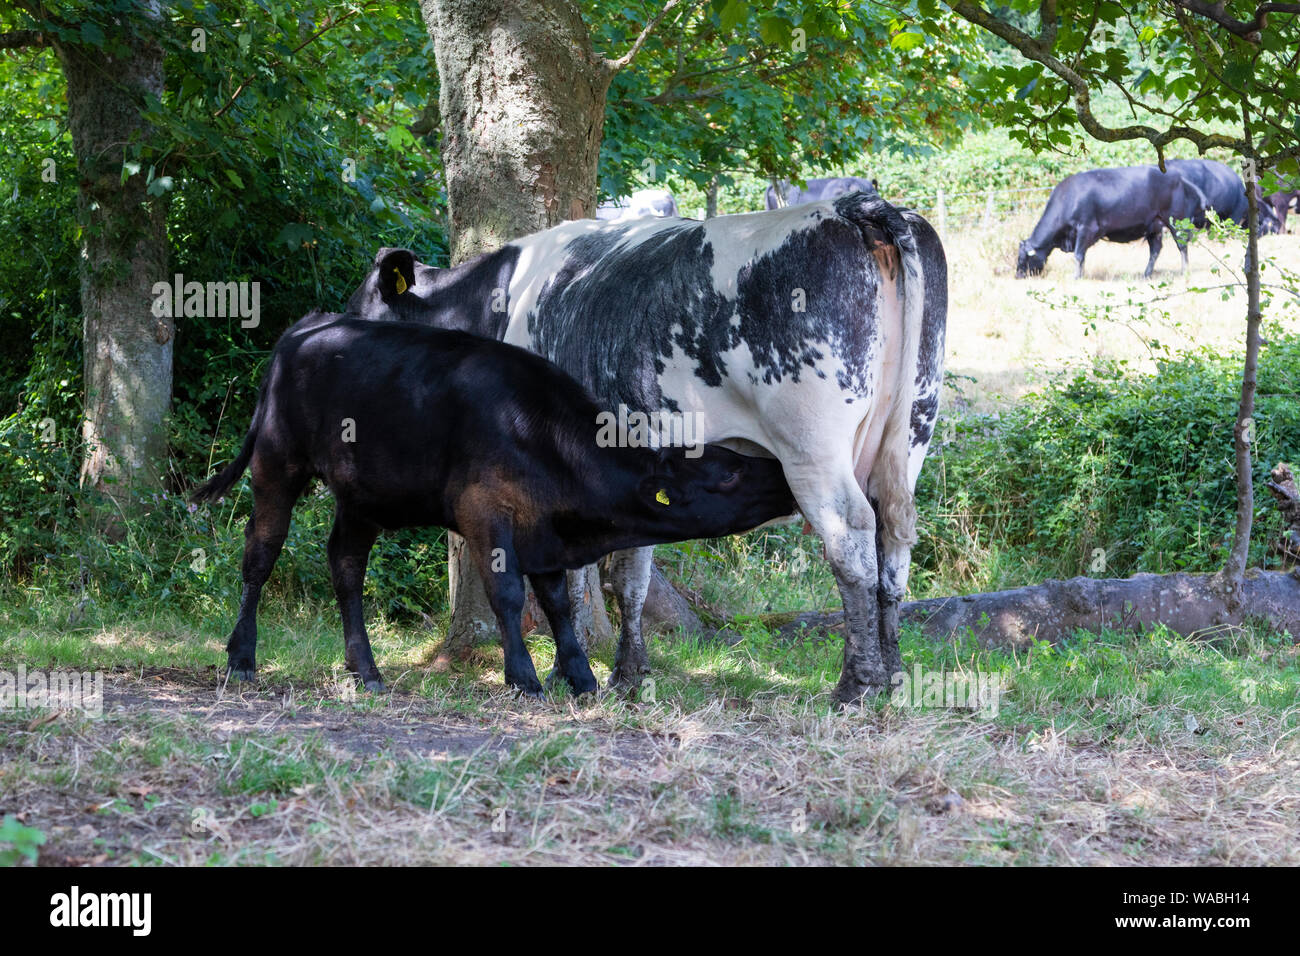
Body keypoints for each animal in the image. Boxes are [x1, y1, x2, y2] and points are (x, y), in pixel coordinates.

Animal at [190, 311, 796, 697]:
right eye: (731, 471)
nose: (786, 477)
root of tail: (304, 328)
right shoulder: (485, 511)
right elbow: (507, 594)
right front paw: (524, 677)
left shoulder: (544, 530)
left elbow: (558, 603)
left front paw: (580, 677)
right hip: (277, 459)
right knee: (260, 552)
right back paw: (242, 658)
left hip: (361, 493)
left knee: (345, 565)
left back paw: (365, 670)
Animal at [347, 192, 947, 704]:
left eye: (359, 311)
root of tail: (858, 207)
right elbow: (629, 575)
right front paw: (628, 674)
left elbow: (582, 575)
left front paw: (582, 672)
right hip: (913, 427)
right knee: (893, 541)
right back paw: (894, 677)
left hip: (812, 444)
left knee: (852, 538)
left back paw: (857, 684)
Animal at [1016, 165, 1208, 278]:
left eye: (1023, 259)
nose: (1017, 276)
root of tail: (1178, 176)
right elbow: (1082, 256)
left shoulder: (1086, 227)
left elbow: (1078, 255)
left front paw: (1076, 277)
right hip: (1154, 225)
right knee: (1155, 250)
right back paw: (1146, 274)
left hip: (1176, 220)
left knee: (1181, 245)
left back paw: (1184, 271)